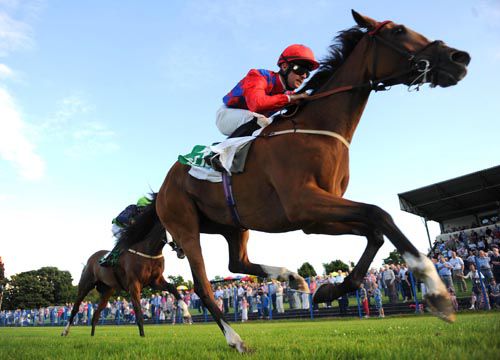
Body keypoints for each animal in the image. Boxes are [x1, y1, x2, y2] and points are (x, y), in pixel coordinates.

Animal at [62, 215, 191, 338]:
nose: (182, 250)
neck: (148, 251)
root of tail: (90, 259)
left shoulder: (156, 281)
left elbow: (173, 288)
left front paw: (186, 313)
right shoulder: (134, 284)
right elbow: (138, 310)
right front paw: (142, 336)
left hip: (107, 292)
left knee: (96, 314)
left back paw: (92, 336)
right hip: (85, 285)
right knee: (75, 308)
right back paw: (65, 331)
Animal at [118, 10, 468, 352]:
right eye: (398, 31)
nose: (458, 57)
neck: (318, 129)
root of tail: (164, 186)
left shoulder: (314, 217)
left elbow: (375, 233)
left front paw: (329, 290)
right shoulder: (304, 204)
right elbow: (379, 214)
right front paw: (436, 290)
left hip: (234, 224)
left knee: (237, 262)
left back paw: (292, 278)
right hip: (186, 227)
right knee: (203, 286)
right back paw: (236, 339)